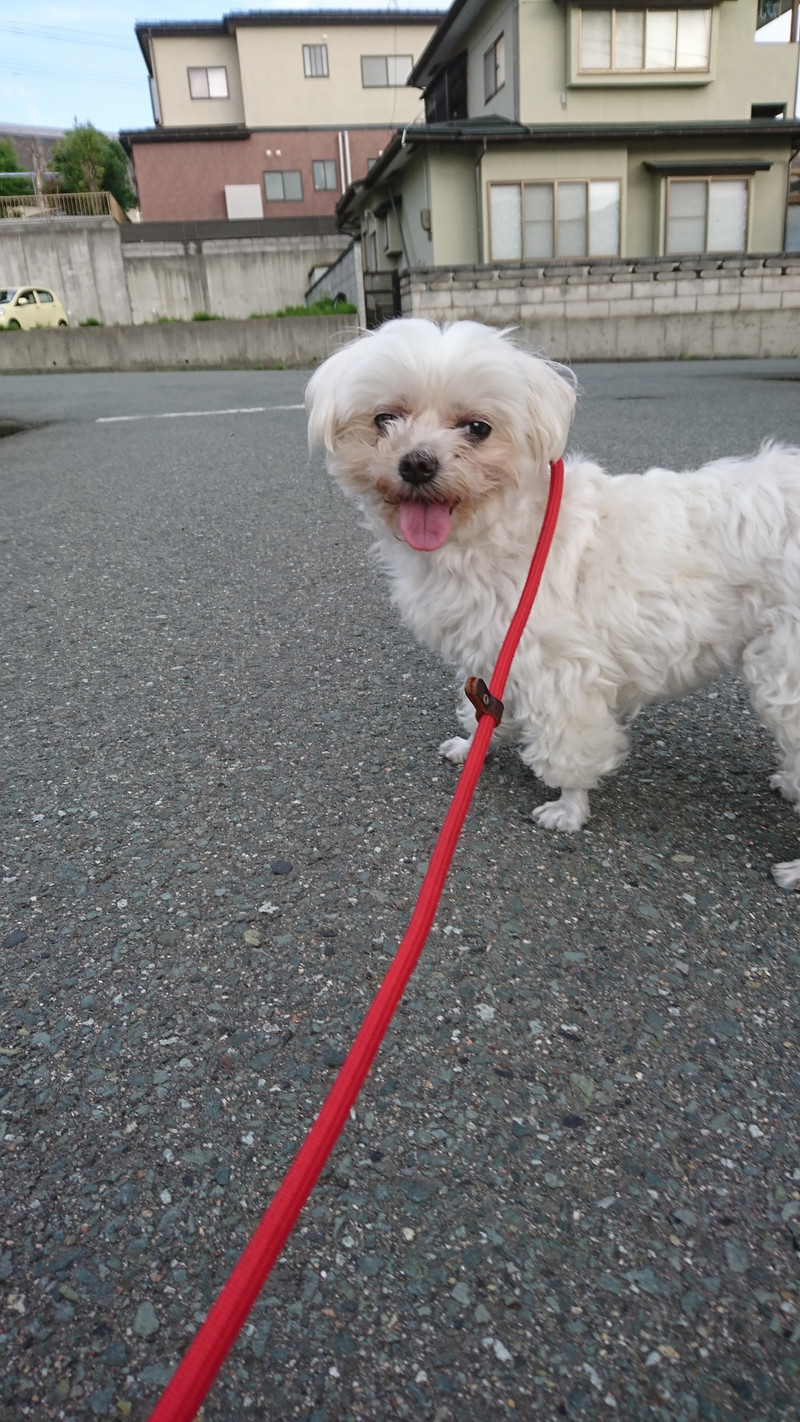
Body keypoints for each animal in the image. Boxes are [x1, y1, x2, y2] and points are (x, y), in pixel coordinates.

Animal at [306, 317, 800, 890]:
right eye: (384, 419)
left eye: (478, 428)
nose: (417, 463)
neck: (498, 531)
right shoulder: (498, 648)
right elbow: (488, 706)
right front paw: (475, 746)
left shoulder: (563, 670)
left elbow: (570, 745)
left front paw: (568, 807)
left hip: (783, 668)